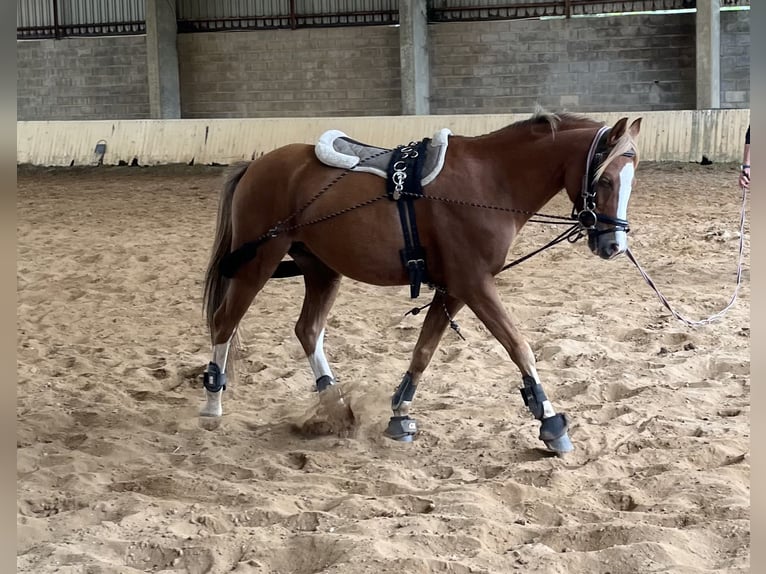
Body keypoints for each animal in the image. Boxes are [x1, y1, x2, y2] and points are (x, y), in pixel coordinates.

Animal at [200, 109, 642, 454]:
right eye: (605, 180)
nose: (614, 245)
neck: (490, 181)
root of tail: (256, 164)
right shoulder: (474, 283)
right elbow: (519, 347)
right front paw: (550, 422)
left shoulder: (454, 288)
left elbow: (424, 351)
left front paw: (400, 413)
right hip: (256, 265)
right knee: (224, 324)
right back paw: (212, 407)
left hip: (322, 270)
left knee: (307, 330)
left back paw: (336, 406)